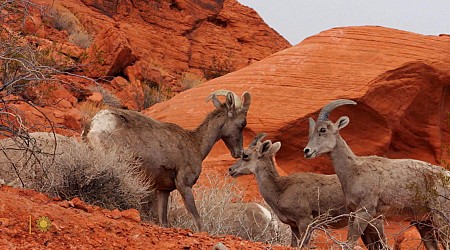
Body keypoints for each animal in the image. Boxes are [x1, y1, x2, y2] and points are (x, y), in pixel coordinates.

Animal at [80, 89, 250, 230]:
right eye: (243, 123)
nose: (239, 152)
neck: (196, 144)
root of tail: (93, 126)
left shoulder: (163, 191)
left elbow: (164, 222)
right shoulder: (184, 185)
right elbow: (197, 219)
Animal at [229, 133, 386, 248]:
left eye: (245, 155)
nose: (231, 170)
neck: (281, 190)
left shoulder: (305, 221)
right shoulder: (293, 226)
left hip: (373, 220)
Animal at [302, 98, 450, 249]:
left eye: (323, 129)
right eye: (310, 132)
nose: (307, 151)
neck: (353, 171)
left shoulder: (365, 212)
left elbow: (351, 243)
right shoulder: (354, 213)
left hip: (441, 217)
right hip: (424, 223)